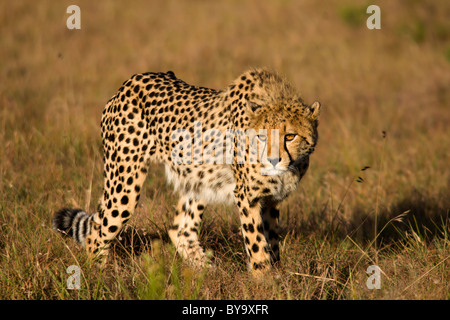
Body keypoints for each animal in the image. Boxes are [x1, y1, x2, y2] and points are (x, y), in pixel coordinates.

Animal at [53, 69, 320, 274]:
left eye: (290, 136)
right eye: (262, 137)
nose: (273, 160)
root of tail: (131, 81)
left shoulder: (271, 201)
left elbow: (272, 244)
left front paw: (277, 278)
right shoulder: (247, 197)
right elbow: (257, 245)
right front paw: (263, 282)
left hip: (197, 179)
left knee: (179, 230)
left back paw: (207, 272)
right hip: (124, 183)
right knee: (97, 232)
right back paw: (98, 279)